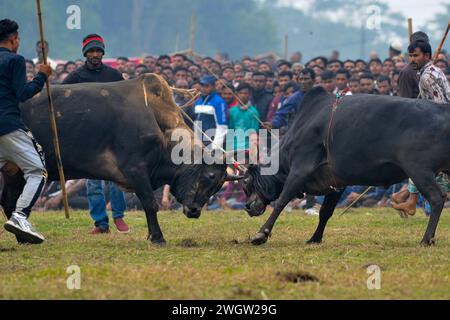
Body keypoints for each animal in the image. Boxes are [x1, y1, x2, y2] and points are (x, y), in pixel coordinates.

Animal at [1, 74, 236, 245]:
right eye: (209, 176)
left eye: (218, 186)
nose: (194, 211)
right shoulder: (136, 169)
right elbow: (150, 203)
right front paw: (158, 237)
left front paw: (151, 235)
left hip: (15, 172)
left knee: (9, 200)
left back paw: (23, 237)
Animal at [246, 86, 450, 246]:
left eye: (247, 183)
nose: (247, 207)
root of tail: (443, 109)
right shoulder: (336, 184)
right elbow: (325, 212)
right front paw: (315, 238)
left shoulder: (300, 170)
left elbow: (281, 200)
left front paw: (261, 234)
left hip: (418, 170)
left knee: (437, 198)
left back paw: (426, 239)